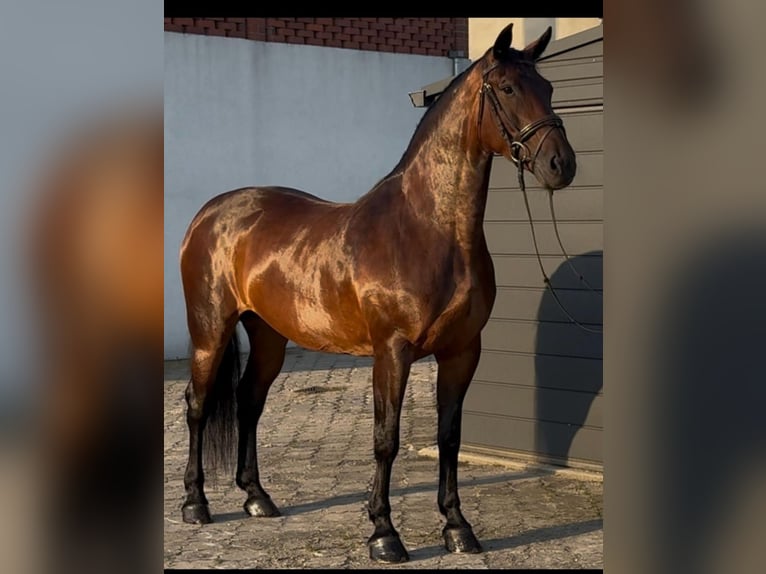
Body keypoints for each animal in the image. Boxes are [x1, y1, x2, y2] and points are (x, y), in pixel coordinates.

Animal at [179, 23, 576, 563]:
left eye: (550, 88)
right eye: (509, 88)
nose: (562, 165)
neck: (428, 229)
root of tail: (209, 214)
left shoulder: (462, 352)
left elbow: (450, 437)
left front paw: (457, 527)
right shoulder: (392, 351)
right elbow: (385, 437)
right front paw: (384, 534)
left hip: (269, 337)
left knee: (249, 401)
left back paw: (257, 498)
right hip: (210, 331)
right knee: (197, 405)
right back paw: (195, 504)